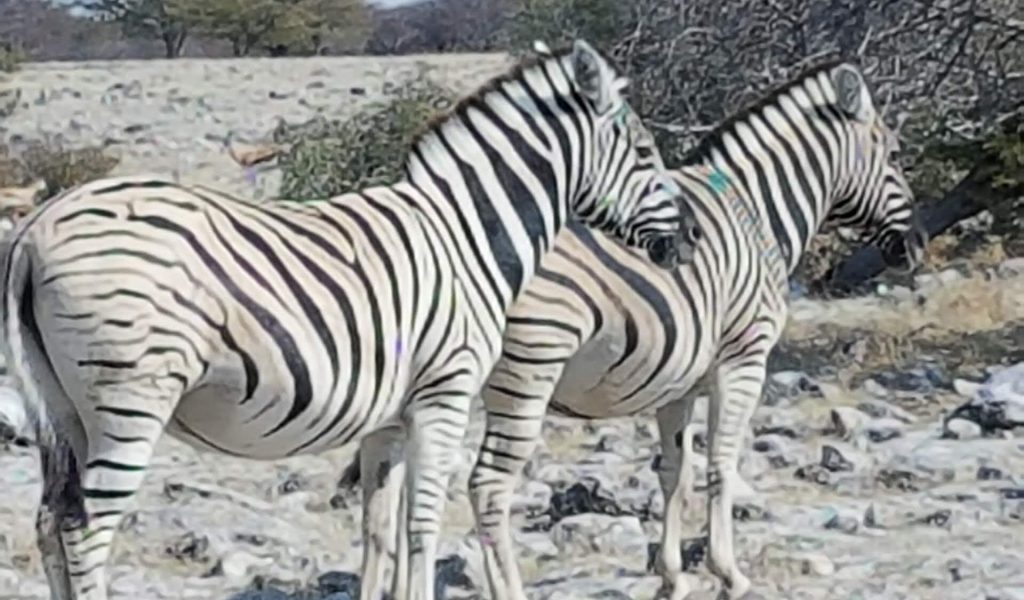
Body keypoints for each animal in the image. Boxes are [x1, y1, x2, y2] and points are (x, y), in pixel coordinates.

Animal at [0, 39, 701, 600]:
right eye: (645, 151)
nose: (691, 238)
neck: (467, 237)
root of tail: (37, 227)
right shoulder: (444, 394)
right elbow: (421, 523)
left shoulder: (387, 417)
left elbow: (379, 530)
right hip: (129, 400)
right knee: (87, 532)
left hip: (63, 412)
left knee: (51, 523)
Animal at [336, 59, 928, 599]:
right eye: (896, 155)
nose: (918, 244)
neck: (754, 209)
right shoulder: (744, 358)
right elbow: (721, 464)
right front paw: (728, 573)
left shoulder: (679, 381)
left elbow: (674, 472)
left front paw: (672, 576)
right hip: (526, 368)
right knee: (486, 487)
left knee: (387, 505)